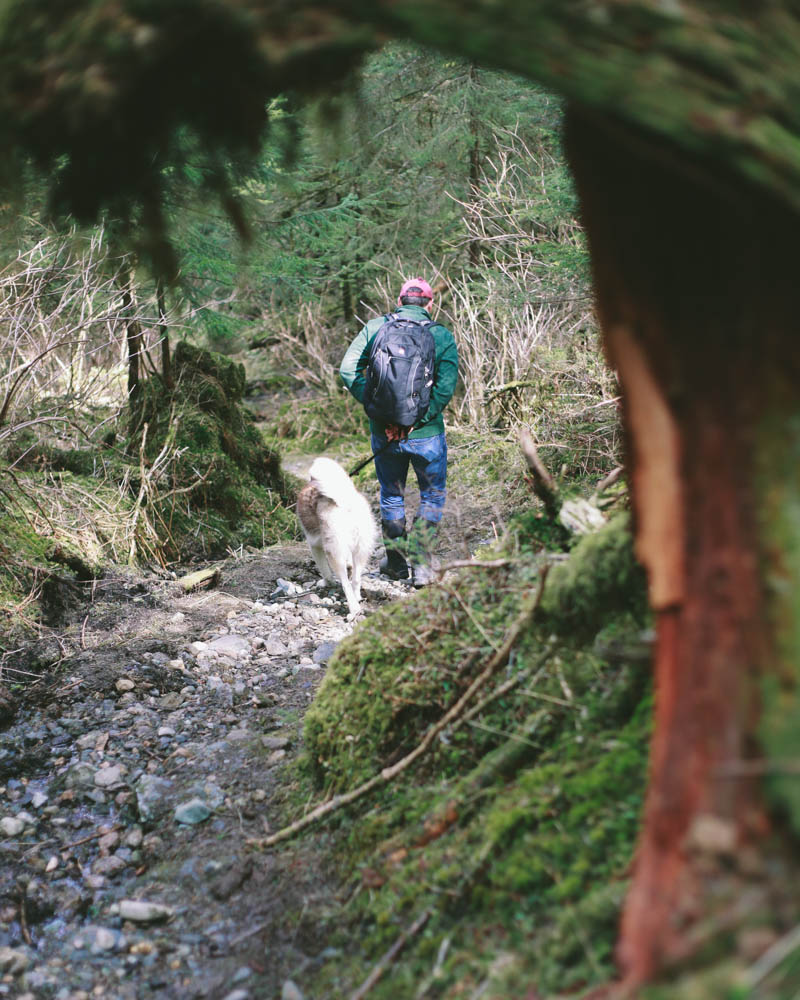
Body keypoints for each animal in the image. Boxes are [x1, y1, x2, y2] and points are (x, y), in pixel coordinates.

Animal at [296, 456, 378, 612]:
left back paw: (354, 608)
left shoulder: (315, 547)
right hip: (361, 549)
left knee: (345, 583)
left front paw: (327, 583)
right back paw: (357, 598)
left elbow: (325, 570)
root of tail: (345, 502)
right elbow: (349, 564)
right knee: (356, 579)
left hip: (334, 553)